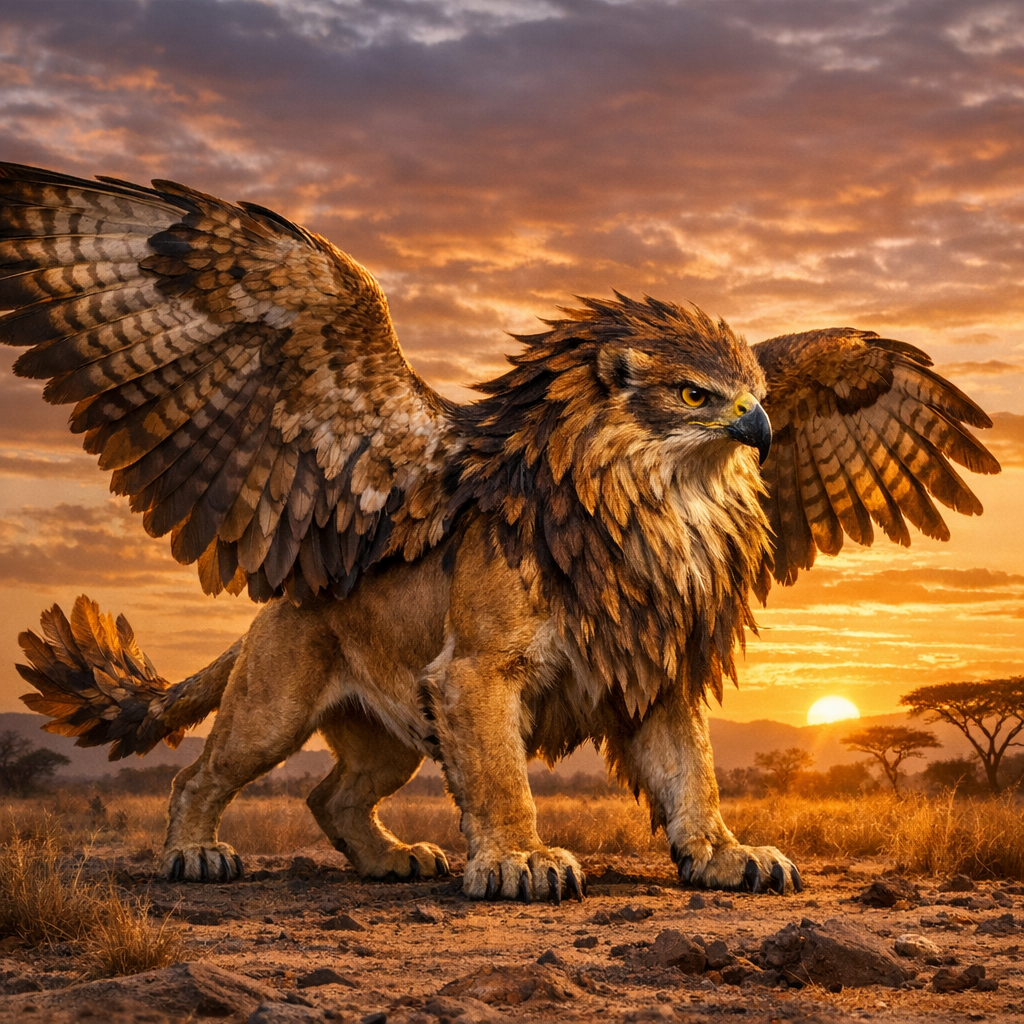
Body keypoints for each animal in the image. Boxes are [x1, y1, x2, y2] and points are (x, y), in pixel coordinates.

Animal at [4, 163, 999, 901]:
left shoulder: (656, 658)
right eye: (693, 394)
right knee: (201, 774)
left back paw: (390, 859)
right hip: (274, 701)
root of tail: (277, 604)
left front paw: (723, 853)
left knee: (333, 795)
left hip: (390, 734)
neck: (653, 495)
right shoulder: (478, 670)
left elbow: (693, 771)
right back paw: (194, 853)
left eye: (758, 393)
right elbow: (498, 773)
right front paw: (521, 860)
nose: (758, 428)